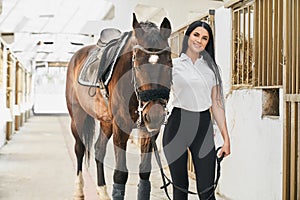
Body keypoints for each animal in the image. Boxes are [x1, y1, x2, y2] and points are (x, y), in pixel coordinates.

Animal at [66, 13, 172, 199]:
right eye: (137, 67)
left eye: (169, 64)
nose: (155, 115)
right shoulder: (121, 128)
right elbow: (120, 174)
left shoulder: (149, 130)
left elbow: (144, 171)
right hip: (77, 116)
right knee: (79, 148)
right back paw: (79, 191)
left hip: (106, 121)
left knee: (99, 148)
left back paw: (102, 191)